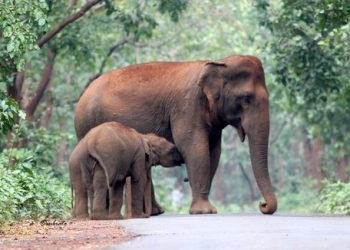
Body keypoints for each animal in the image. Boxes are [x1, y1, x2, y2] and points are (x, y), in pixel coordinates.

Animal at [75, 54, 278, 215]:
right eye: (246, 99)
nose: (262, 205)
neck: (219, 62)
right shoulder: (186, 106)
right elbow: (195, 148)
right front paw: (204, 212)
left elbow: (214, 151)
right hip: (87, 125)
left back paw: (155, 212)